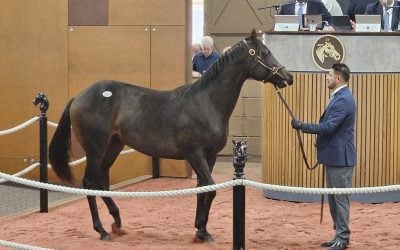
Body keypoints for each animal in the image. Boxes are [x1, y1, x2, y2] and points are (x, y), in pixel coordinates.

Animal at [49, 29, 294, 242]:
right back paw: (101, 230)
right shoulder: (194, 154)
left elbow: (202, 190)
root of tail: (78, 96)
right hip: (96, 148)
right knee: (89, 182)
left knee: (101, 180)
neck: (205, 103)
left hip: (114, 145)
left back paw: (117, 222)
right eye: (265, 53)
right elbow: (210, 188)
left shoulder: (210, 156)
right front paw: (201, 230)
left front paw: (202, 230)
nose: (288, 77)